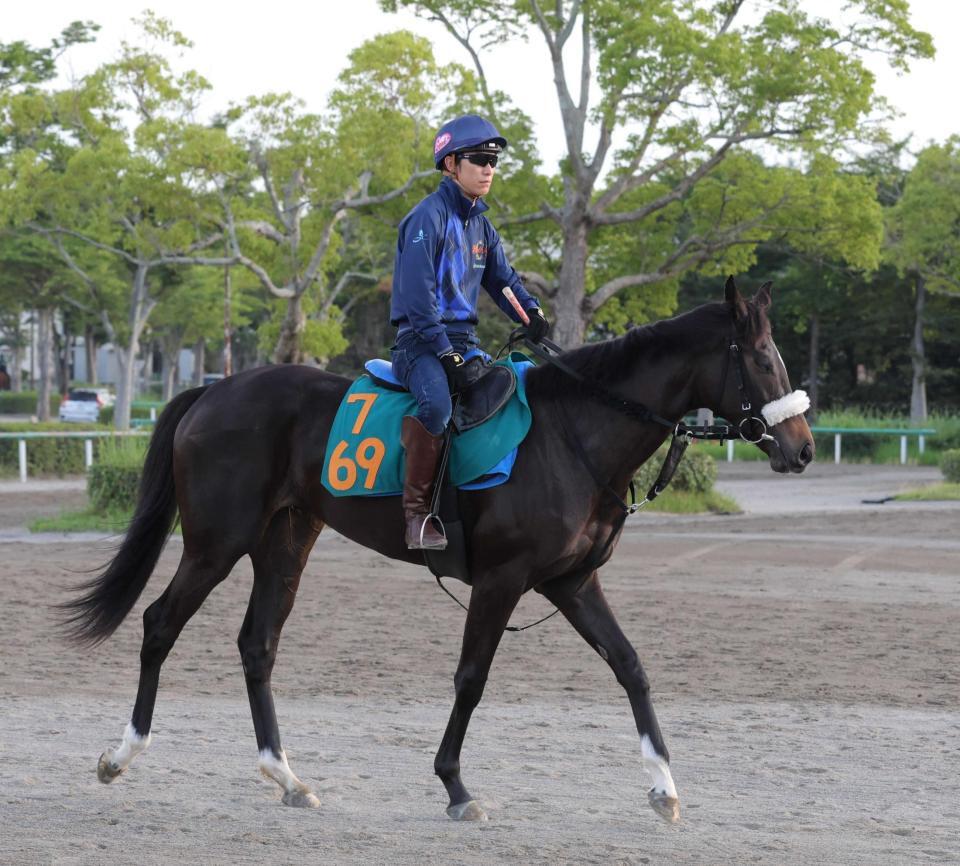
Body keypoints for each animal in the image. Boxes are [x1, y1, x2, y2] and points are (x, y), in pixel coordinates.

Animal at [62, 276, 808, 824]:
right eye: (763, 359)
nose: (800, 448)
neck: (572, 433)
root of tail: (215, 388)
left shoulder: (571, 582)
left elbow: (630, 666)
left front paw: (664, 786)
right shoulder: (503, 580)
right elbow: (471, 679)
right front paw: (455, 786)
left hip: (286, 541)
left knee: (257, 645)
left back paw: (286, 776)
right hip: (217, 544)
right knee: (160, 624)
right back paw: (120, 755)